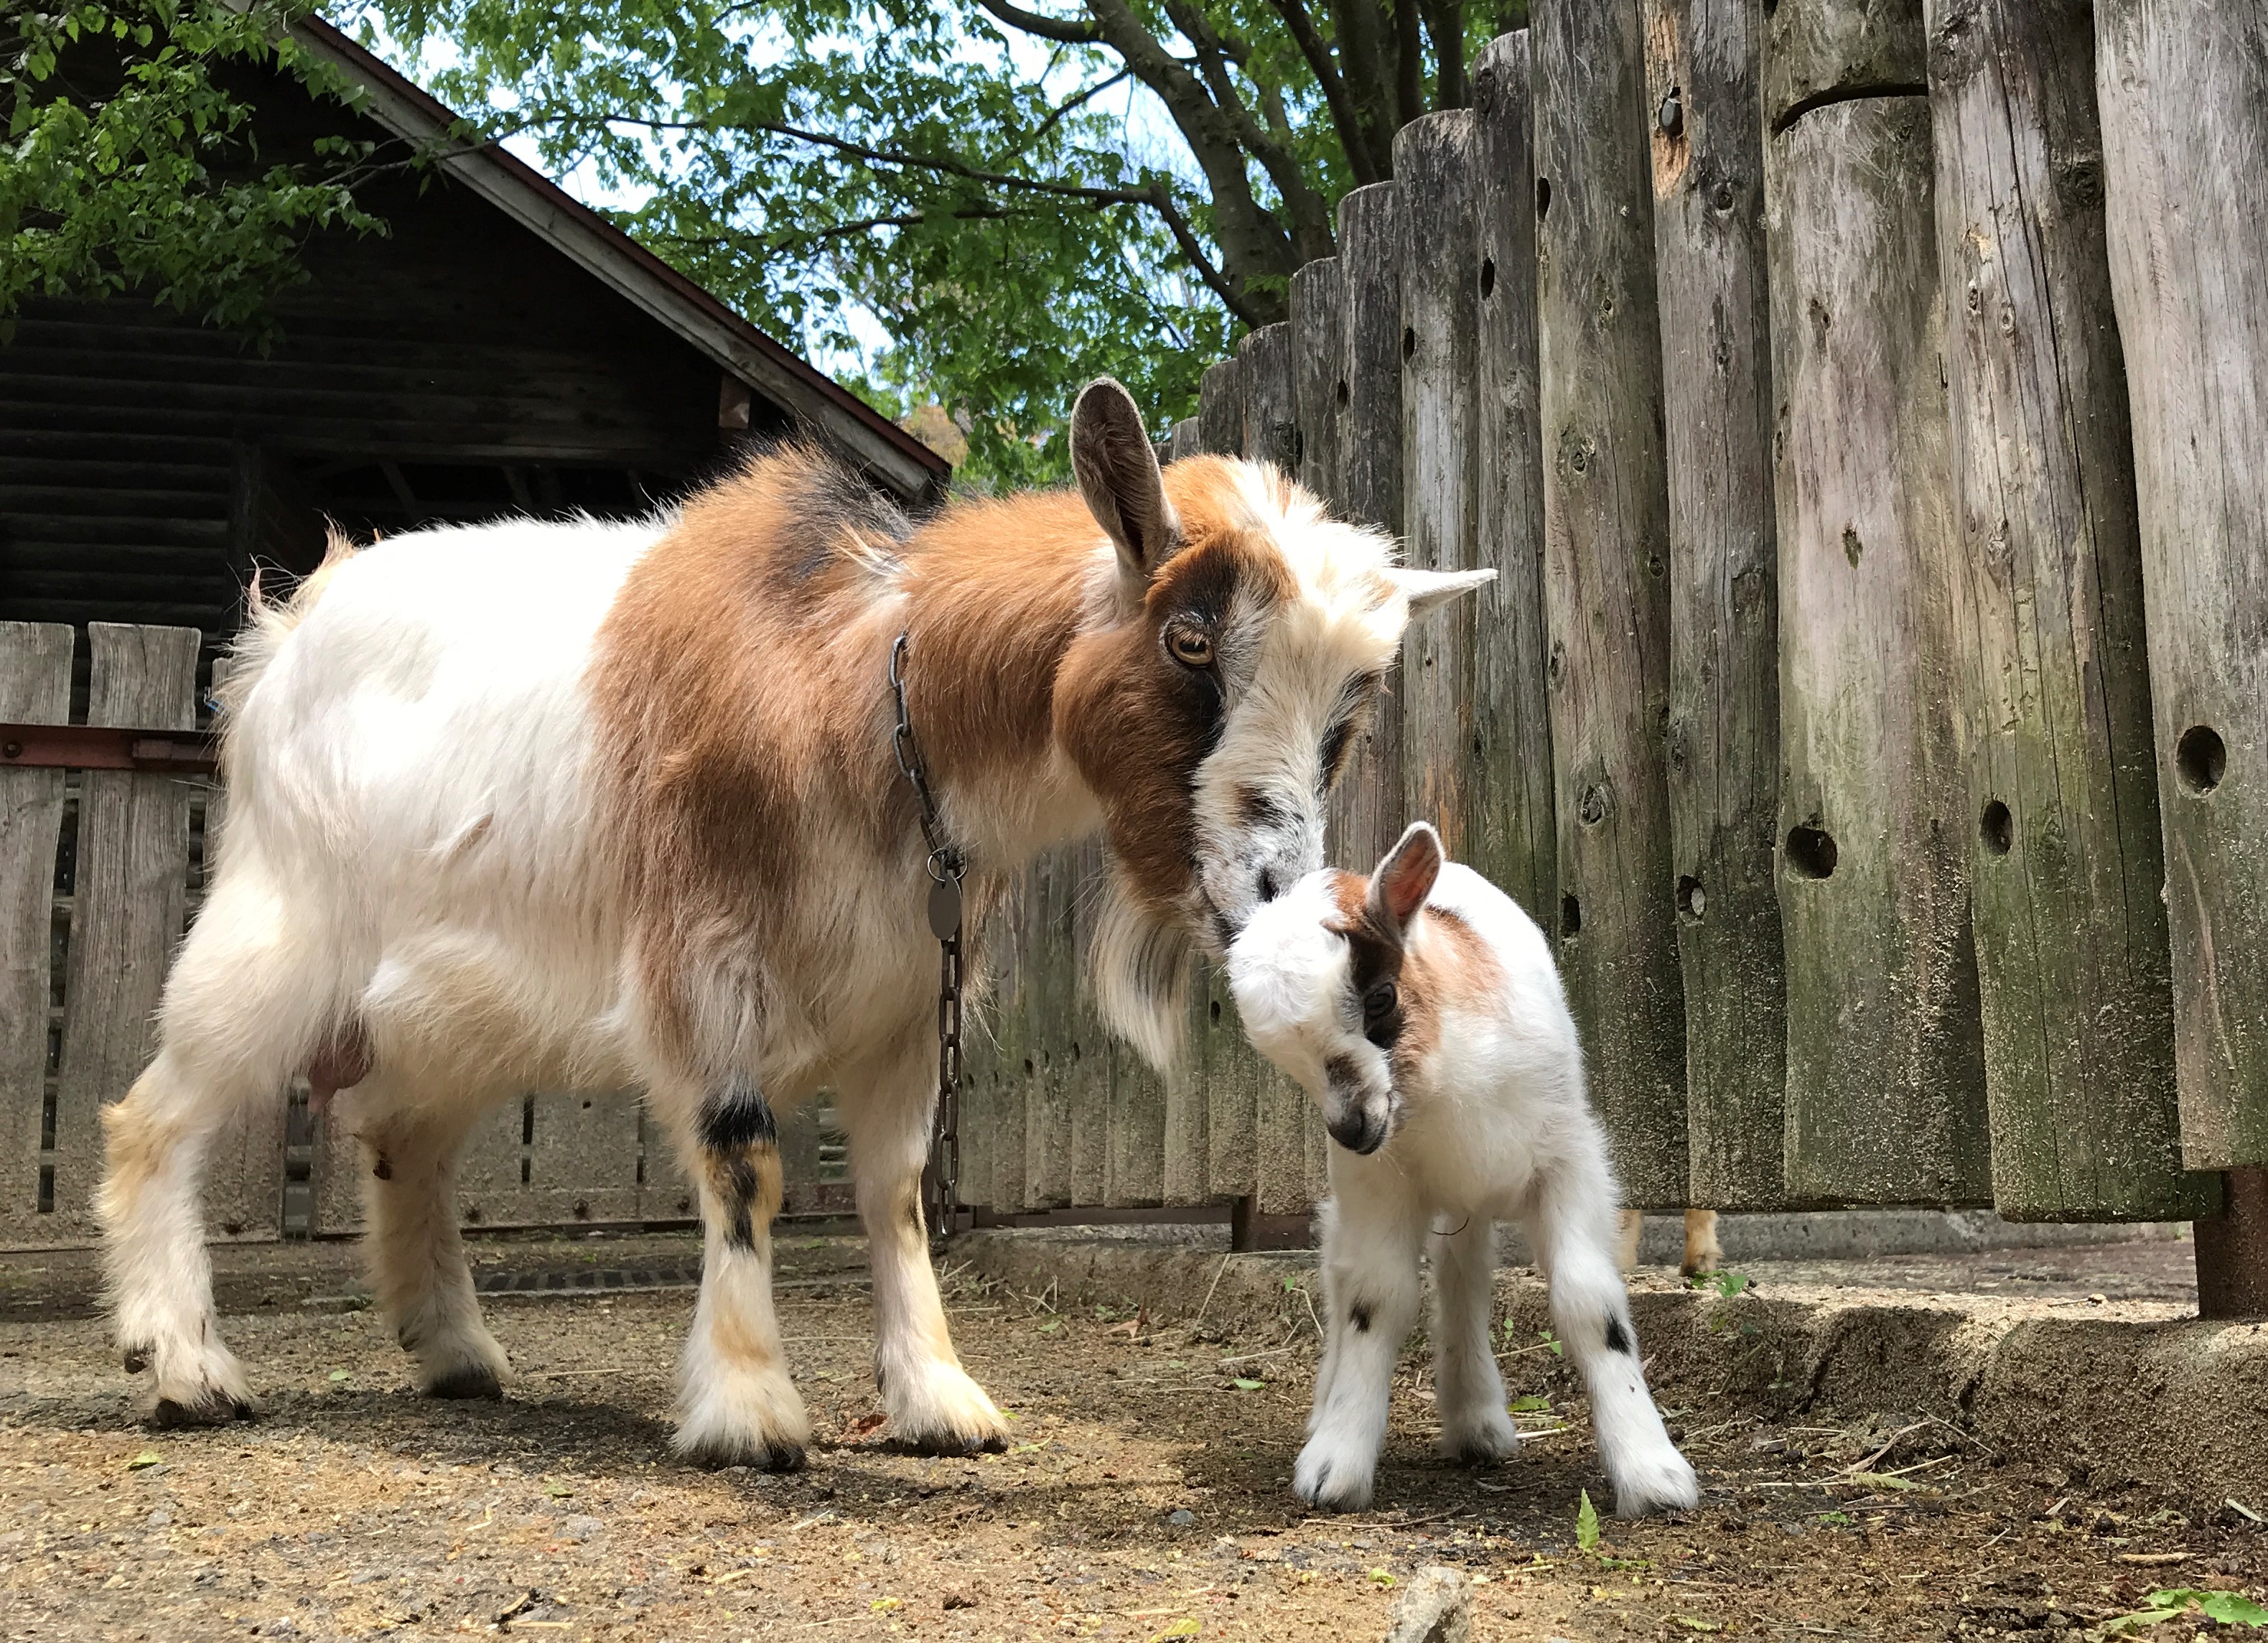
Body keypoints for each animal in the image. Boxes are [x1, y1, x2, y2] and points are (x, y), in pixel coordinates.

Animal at [1233, 822, 1696, 1516]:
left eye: (1380, 997)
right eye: (1284, 1057)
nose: (1352, 1129)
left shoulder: (1569, 1162)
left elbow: (1590, 1304)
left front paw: (1654, 1477)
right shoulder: (1376, 1184)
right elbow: (1375, 1301)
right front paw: (1333, 1467)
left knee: (1462, 1275)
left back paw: (1477, 1424)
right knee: (1347, 1277)